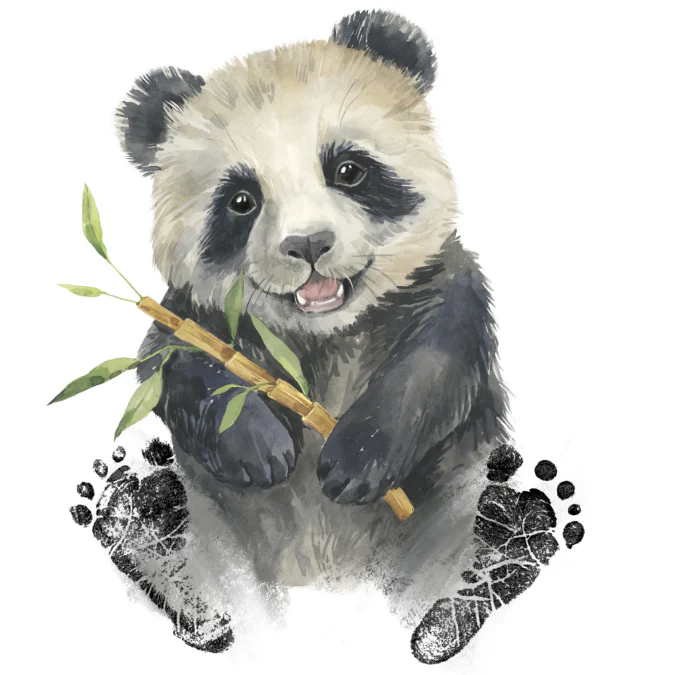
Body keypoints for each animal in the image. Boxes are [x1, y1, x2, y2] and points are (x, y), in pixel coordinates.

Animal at [114, 8, 510, 656]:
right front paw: (260, 449)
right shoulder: (196, 316)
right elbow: (174, 363)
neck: (327, 336)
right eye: (241, 200)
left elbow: (438, 362)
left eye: (348, 169)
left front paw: (353, 462)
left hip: (443, 522)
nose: (308, 244)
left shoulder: (442, 287)